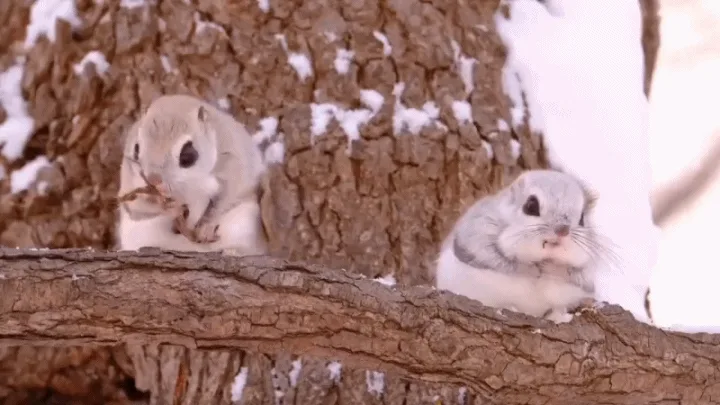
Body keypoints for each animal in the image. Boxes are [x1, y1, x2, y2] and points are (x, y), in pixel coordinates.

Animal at [116, 94, 267, 256]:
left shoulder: (234, 165)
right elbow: (136, 208)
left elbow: (225, 200)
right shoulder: (128, 185)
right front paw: (168, 207)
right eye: (136, 149)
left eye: (187, 155)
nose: (153, 180)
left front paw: (206, 228)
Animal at [434, 170, 602, 323]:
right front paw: (531, 269)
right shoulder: (477, 234)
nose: (563, 230)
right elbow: (498, 260)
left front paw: (553, 269)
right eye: (531, 205)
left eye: (582, 219)